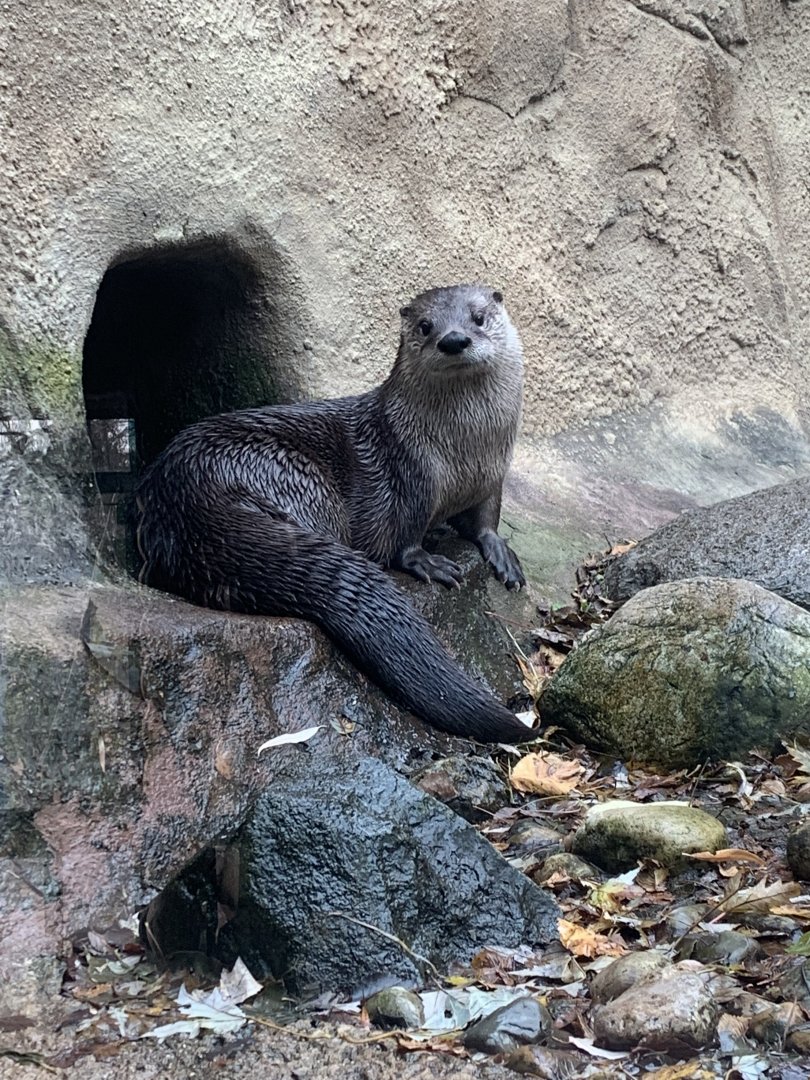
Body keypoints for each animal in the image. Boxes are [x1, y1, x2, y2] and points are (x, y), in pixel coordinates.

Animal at [135, 284, 532, 743]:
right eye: (425, 326)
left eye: (479, 317)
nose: (453, 340)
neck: (465, 454)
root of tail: (182, 494)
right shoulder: (412, 476)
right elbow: (405, 535)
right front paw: (426, 561)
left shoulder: (493, 474)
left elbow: (486, 520)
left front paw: (500, 553)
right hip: (295, 477)